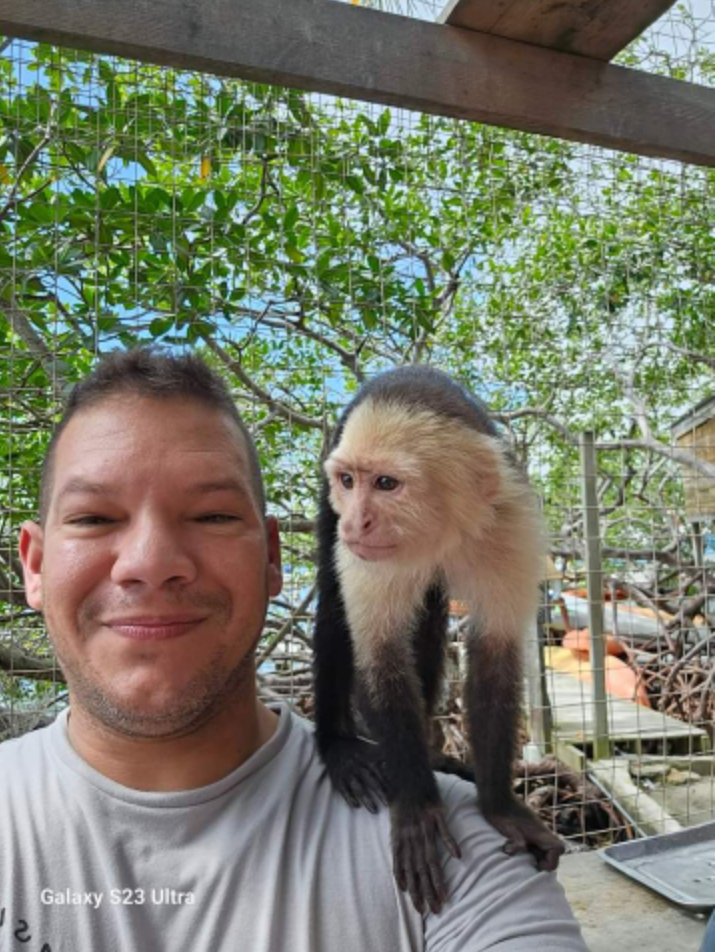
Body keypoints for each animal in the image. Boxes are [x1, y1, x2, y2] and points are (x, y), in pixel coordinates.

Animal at [312, 365, 564, 915]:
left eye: (386, 484)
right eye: (349, 481)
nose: (355, 520)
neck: (443, 529)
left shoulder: (508, 519)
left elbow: (494, 658)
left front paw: (500, 806)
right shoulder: (364, 547)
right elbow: (379, 657)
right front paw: (416, 806)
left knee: (427, 619)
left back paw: (432, 753)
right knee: (334, 602)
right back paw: (338, 744)